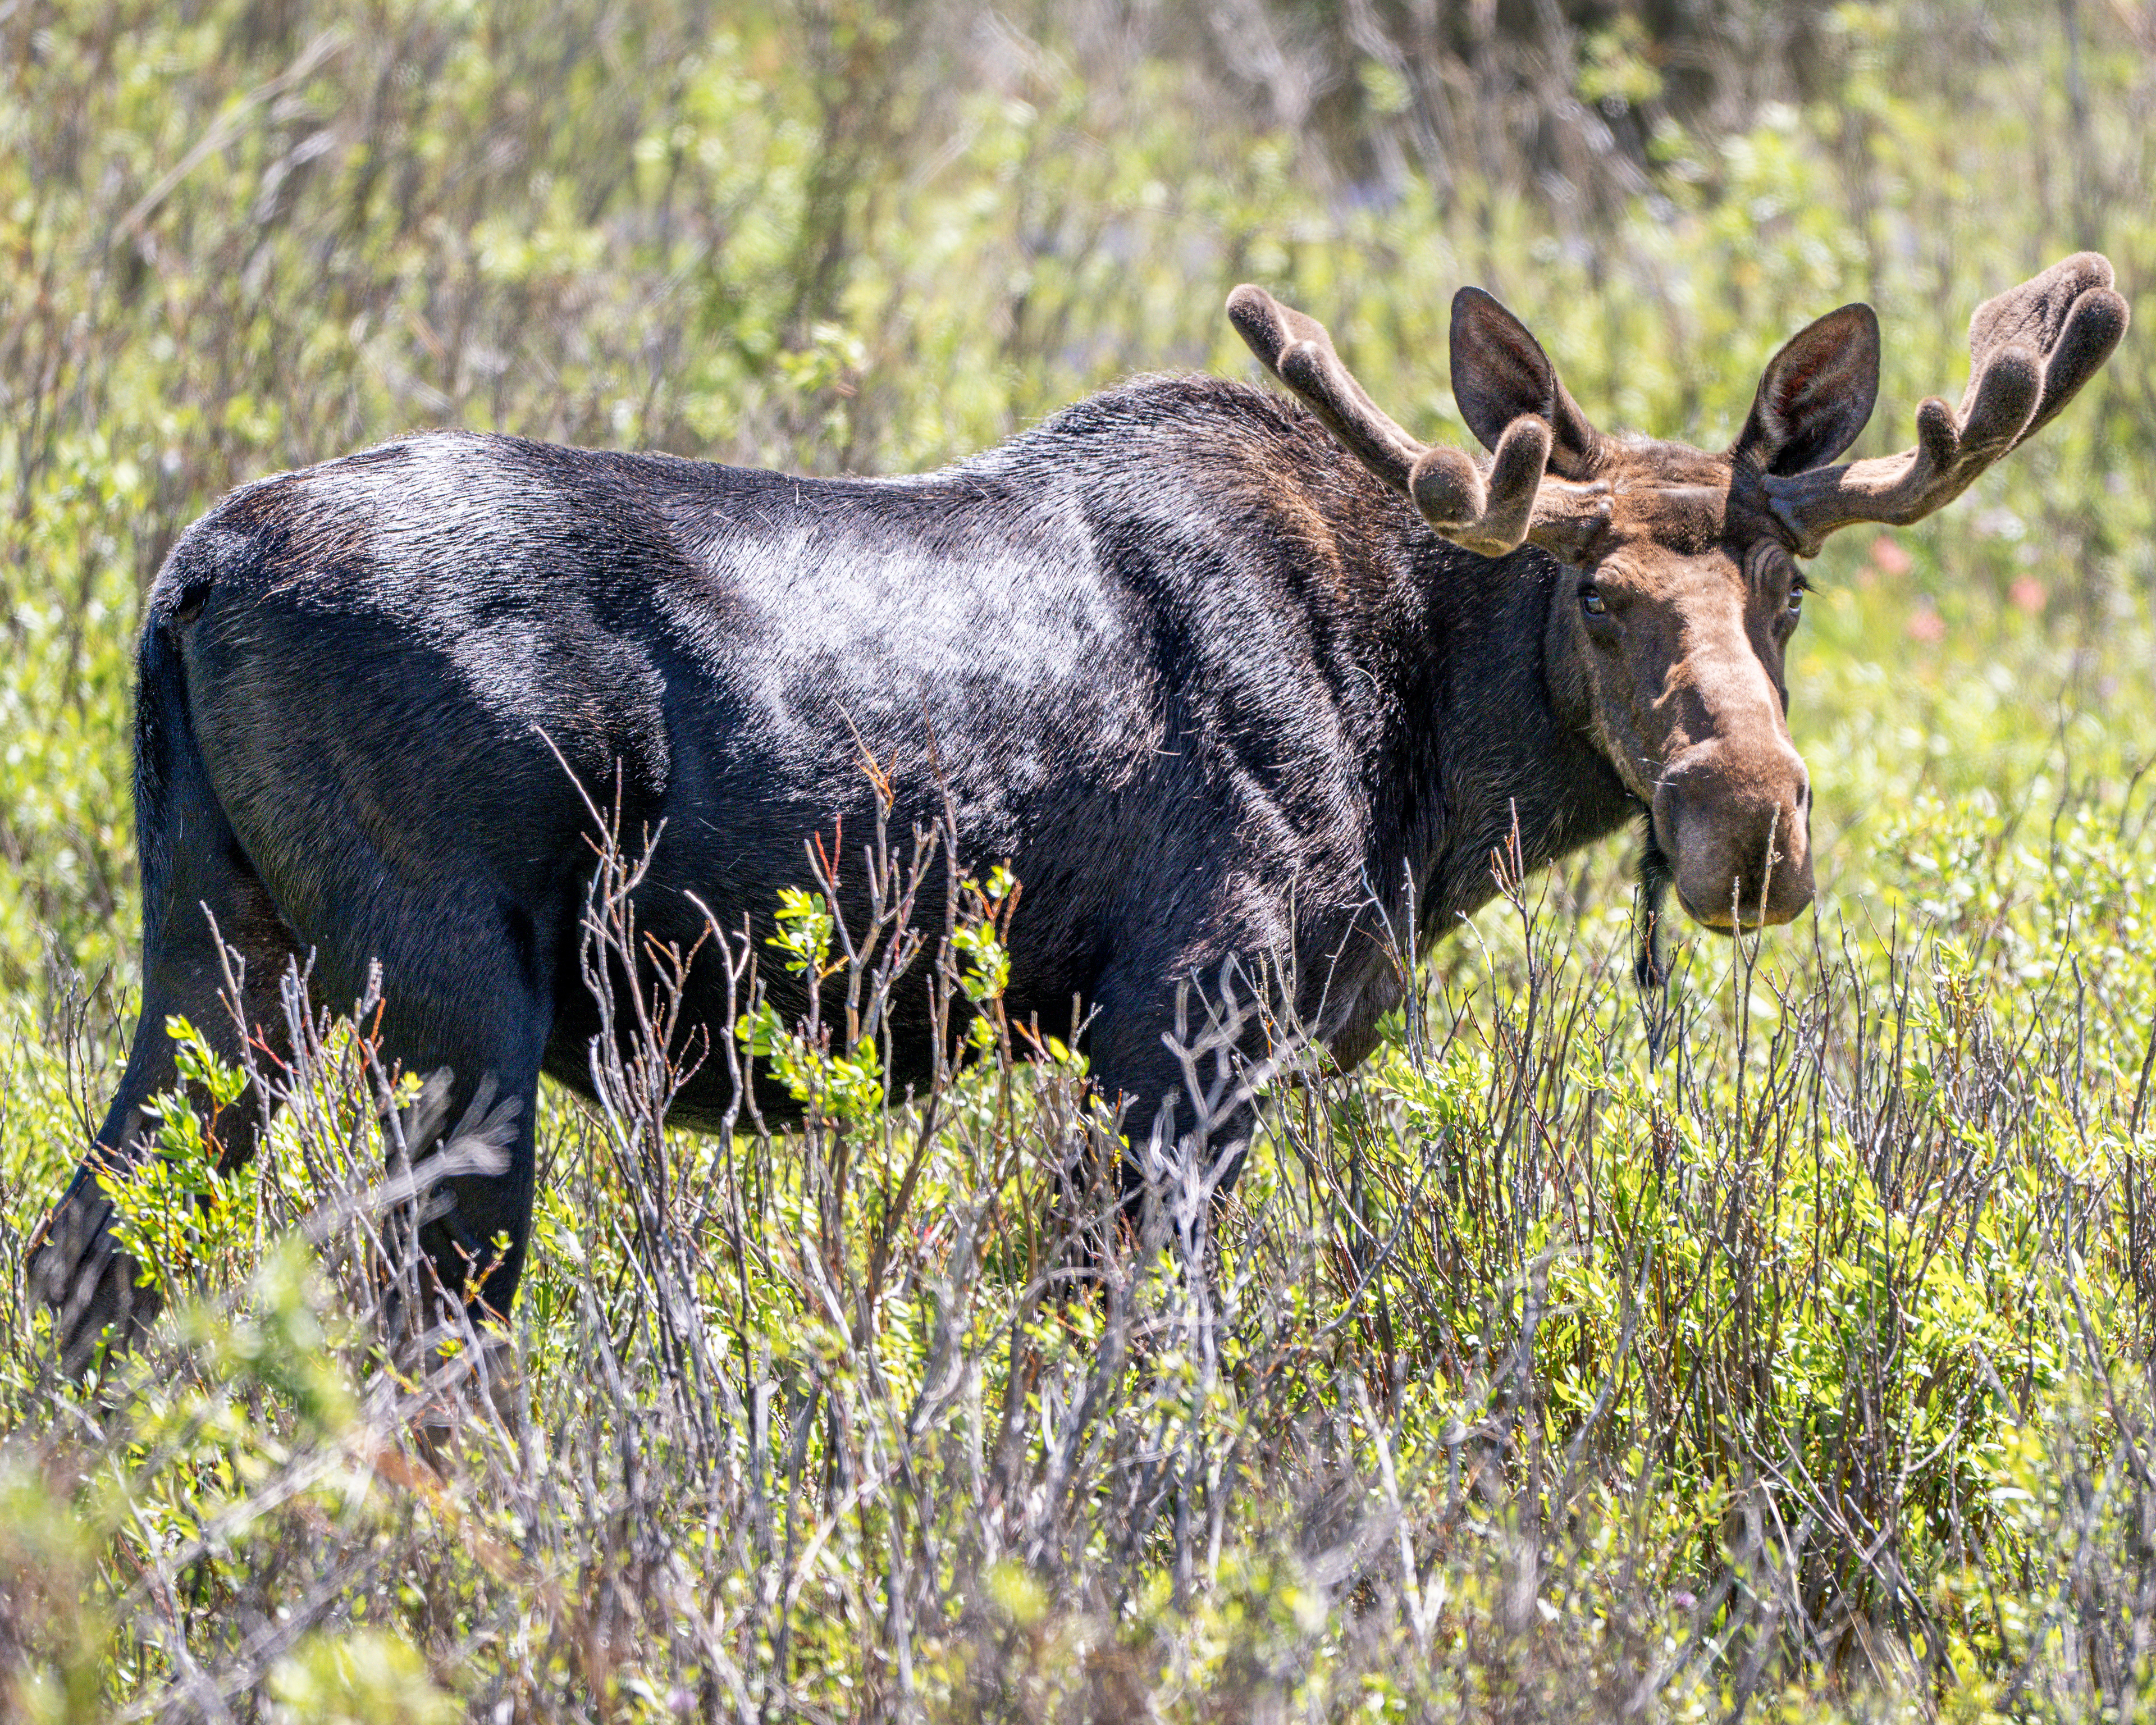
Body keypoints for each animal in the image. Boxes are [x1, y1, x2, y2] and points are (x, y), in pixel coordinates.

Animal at [29, 253, 2126, 1373]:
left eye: (1789, 586)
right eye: (1592, 591)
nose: (1747, 819)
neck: (1433, 760)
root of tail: (186, 576)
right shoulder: (1182, 1022)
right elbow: (1142, 1354)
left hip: (221, 957)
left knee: (88, 1257)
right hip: (446, 994)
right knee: (419, 1326)